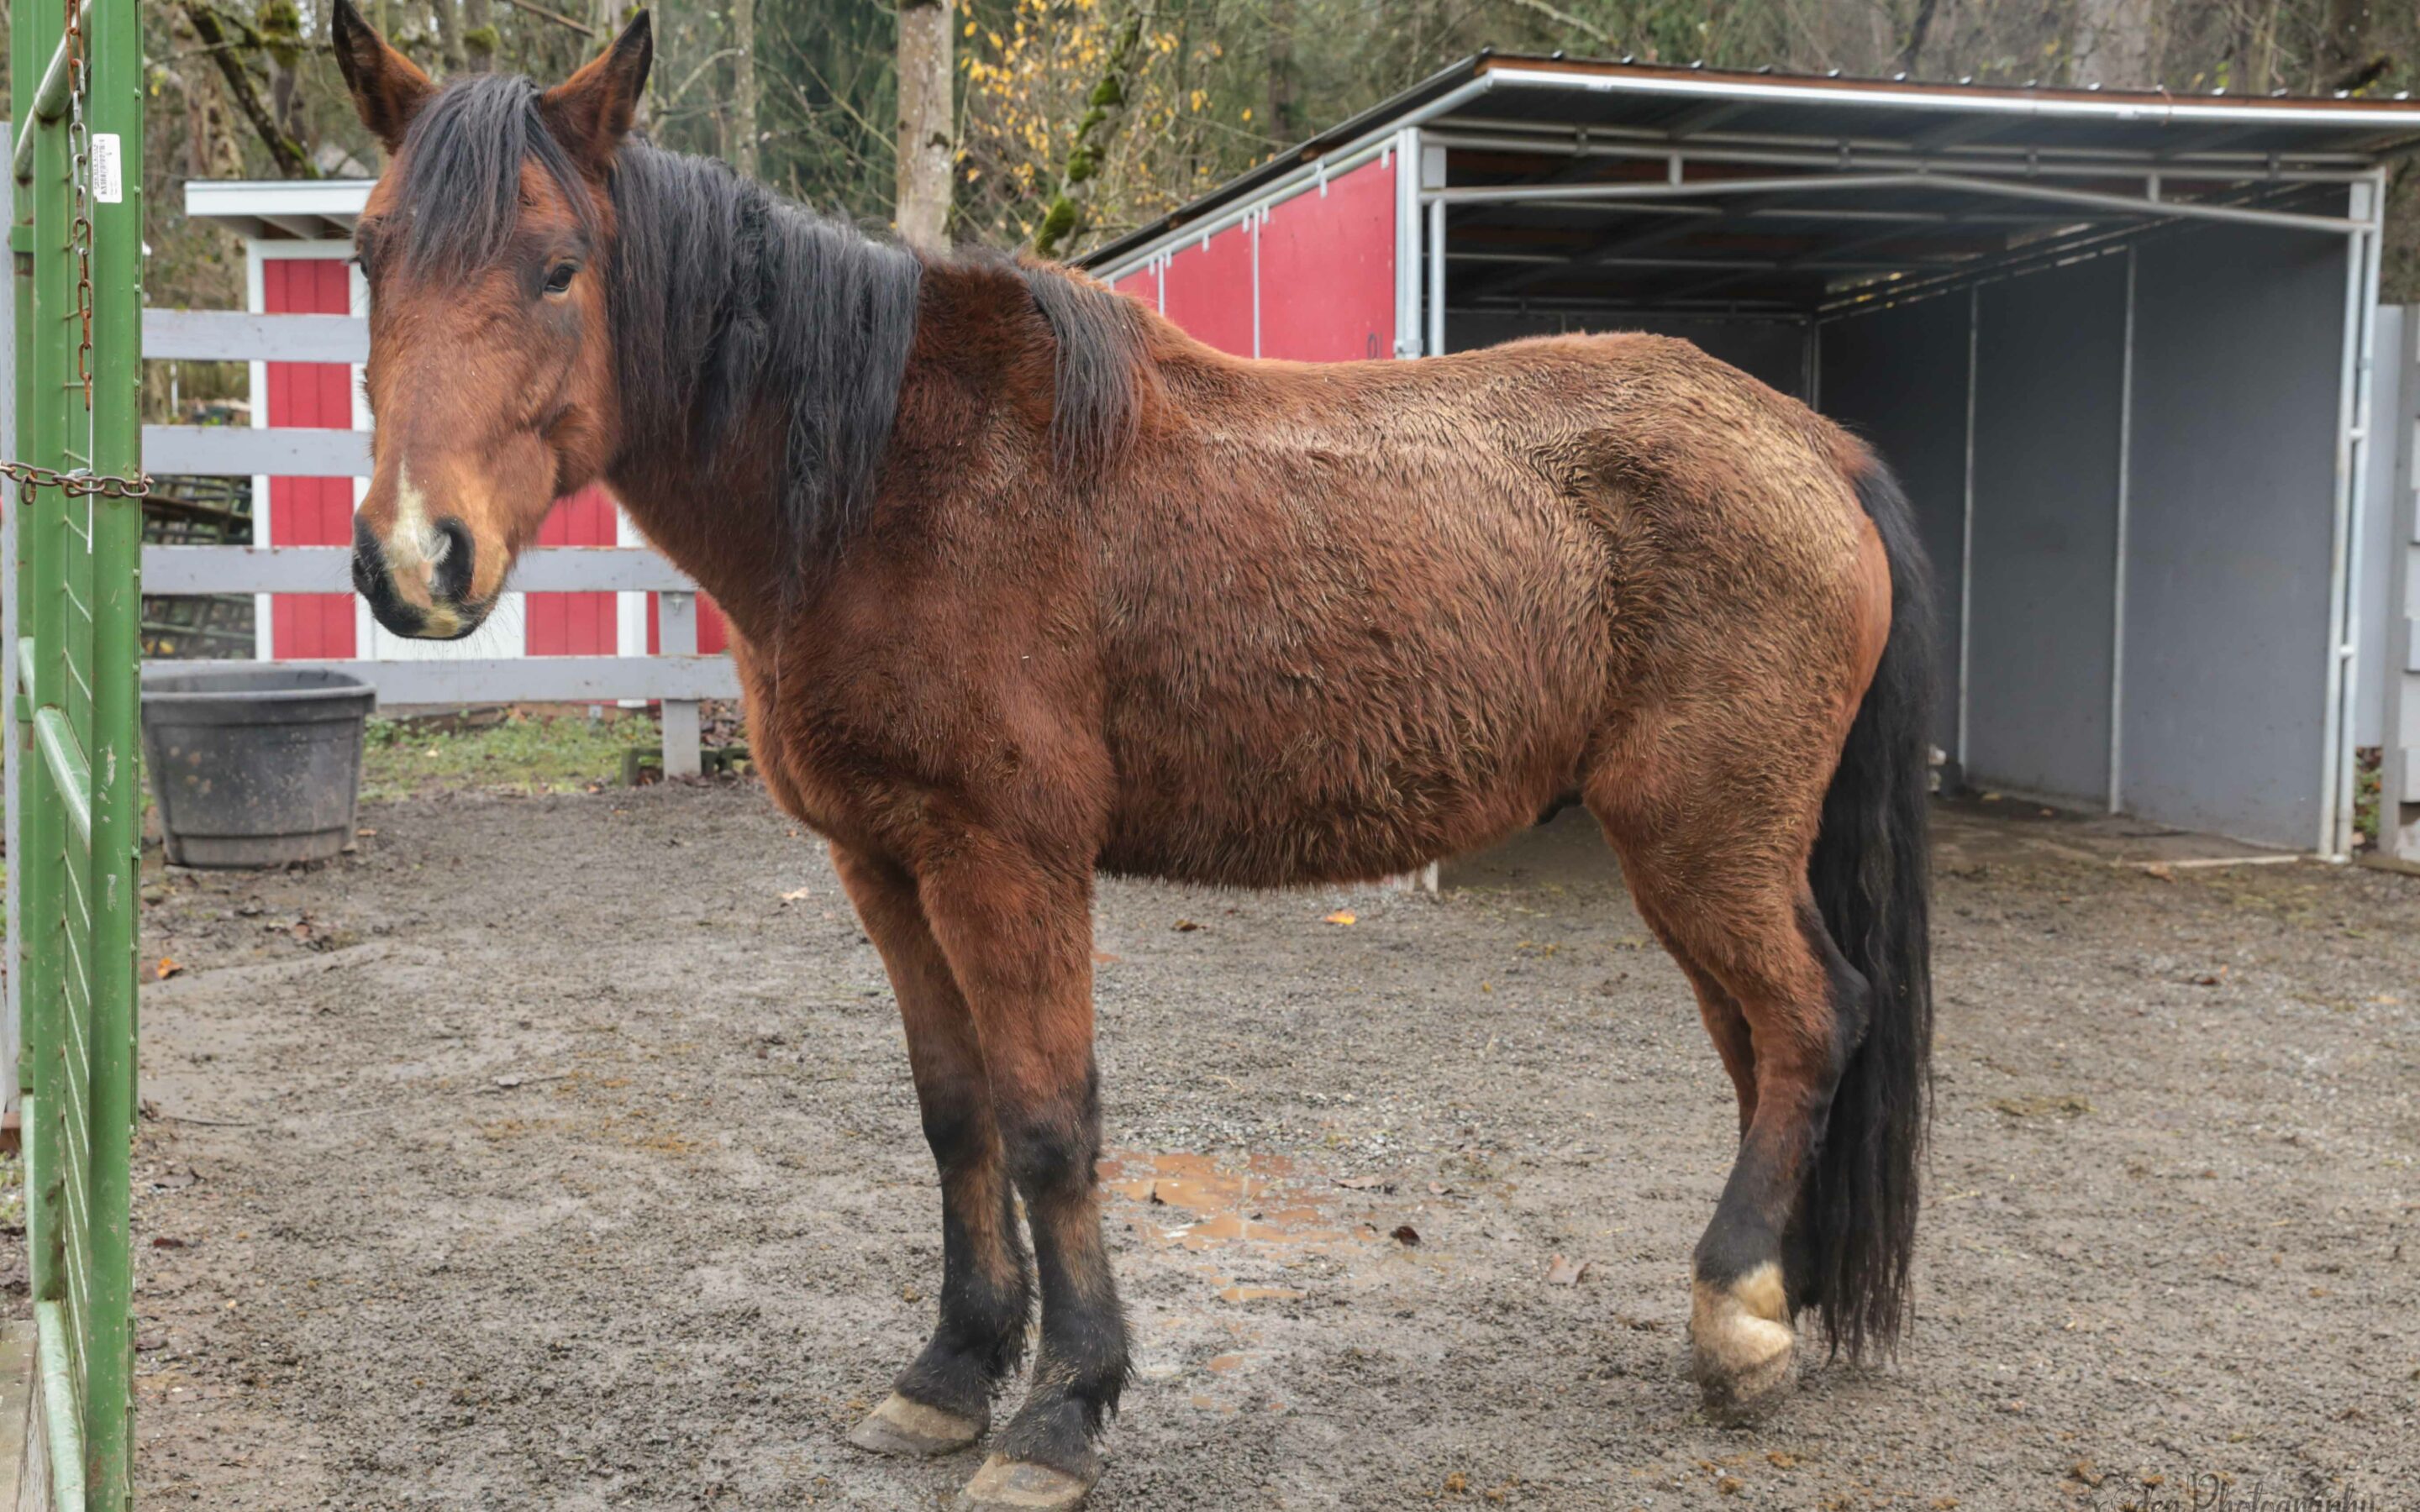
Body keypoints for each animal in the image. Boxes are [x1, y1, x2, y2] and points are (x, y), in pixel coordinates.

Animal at [336, 6, 1926, 1499]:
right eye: (367, 255)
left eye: (557, 267)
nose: (416, 558)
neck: (887, 479)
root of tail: (1814, 446)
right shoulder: (884, 865)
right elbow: (956, 1115)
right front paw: (950, 1373)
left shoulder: (1010, 860)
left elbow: (1048, 1123)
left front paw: (1060, 1411)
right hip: (1706, 855)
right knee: (1758, 1042)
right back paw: (1777, 1302)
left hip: (1703, 838)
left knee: (1810, 1021)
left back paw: (1736, 1320)